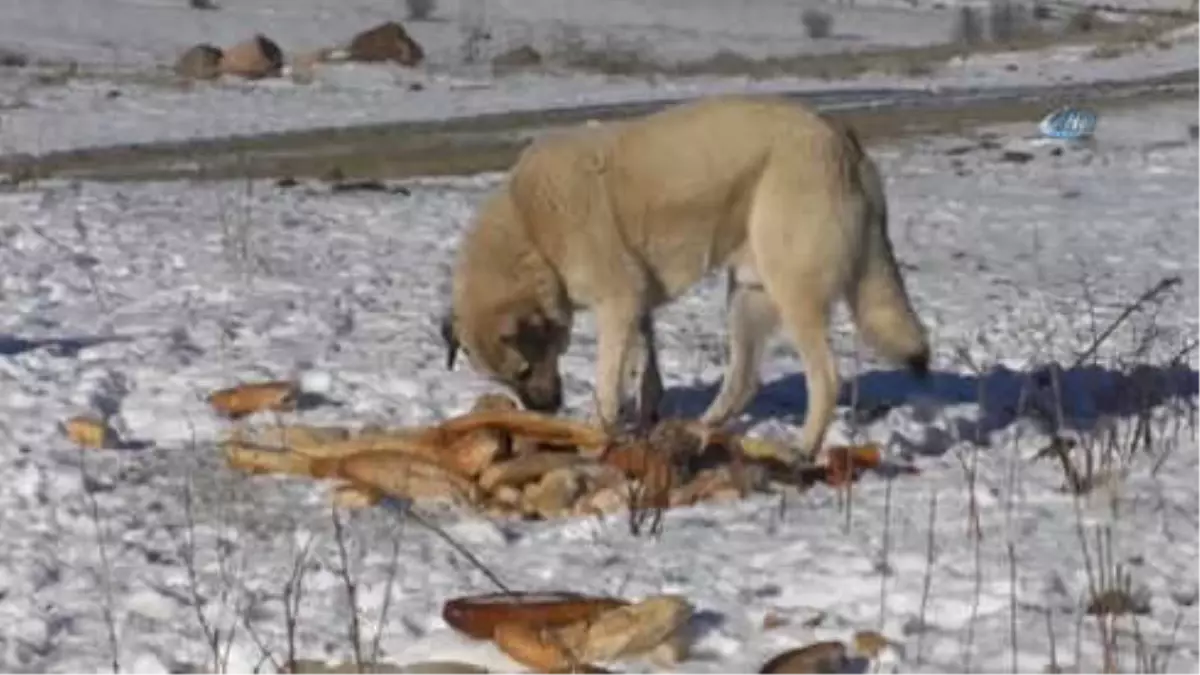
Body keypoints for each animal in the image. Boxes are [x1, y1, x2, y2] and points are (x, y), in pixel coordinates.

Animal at [439, 94, 926, 458]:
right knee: (743, 381)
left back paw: (802, 449)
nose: (548, 409)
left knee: (825, 379)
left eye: (524, 370)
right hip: (747, 296)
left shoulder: (617, 304)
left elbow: (607, 383)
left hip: (794, 294)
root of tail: (842, 138)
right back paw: (699, 430)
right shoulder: (636, 306)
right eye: (505, 381)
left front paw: (597, 433)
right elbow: (646, 370)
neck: (532, 229)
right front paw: (644, 422)